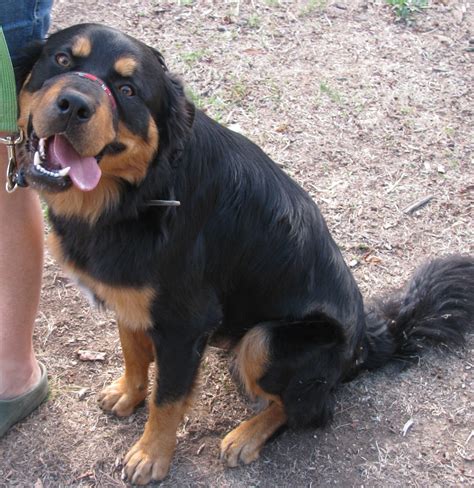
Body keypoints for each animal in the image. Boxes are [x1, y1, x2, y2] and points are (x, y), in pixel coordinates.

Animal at [15, 23, 474, 484]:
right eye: (61, 60)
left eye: (127, 90)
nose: (73, 105)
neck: (140, 193)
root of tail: (367, 341)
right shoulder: (129, 297)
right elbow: (133, 351)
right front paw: (128, 394)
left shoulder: (186, 323)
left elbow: (168, 399)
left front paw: (150, 456)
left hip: (267, 341)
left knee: (310, 410)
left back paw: (246, 436)